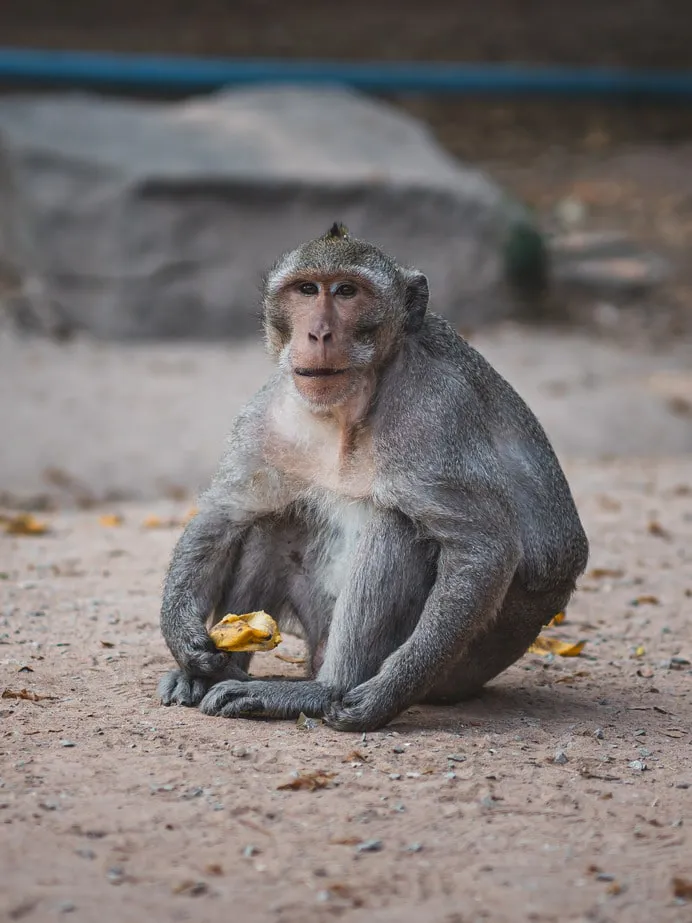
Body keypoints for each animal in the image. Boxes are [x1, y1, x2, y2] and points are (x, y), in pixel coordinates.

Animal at [157, 222, 588, 728]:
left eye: (347, 292)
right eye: (307, 290)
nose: (318, 332)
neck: (348, 409)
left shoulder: (437, 416)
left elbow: (483, 547)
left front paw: (385, 694)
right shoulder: (270, 413)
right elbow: (225, 513)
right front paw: (183, 637)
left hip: (460, 669)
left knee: (397, 525)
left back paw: (321, 691)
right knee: (273, 521)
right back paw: (210, 676)